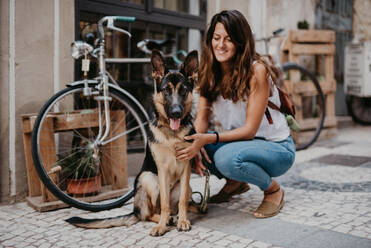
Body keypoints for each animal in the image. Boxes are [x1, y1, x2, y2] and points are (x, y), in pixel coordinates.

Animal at [67, 50, 201, 236]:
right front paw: (162, 225)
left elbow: (182, 201)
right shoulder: (162, 169)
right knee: (149, 213)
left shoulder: (186, 167)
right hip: (148, 178)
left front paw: (183, 220)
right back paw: (165, 220)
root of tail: (135, 209)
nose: (175, 113)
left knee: (177, 203)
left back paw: (179, 216)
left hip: (186, 186)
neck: (172, 133)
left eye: (183, 91)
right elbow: (164, 203)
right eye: (166, 91)